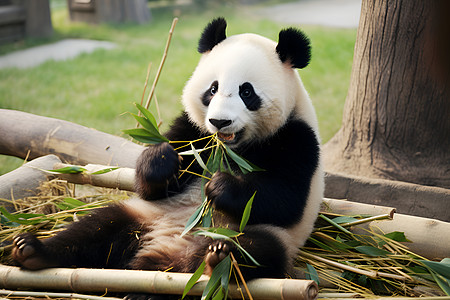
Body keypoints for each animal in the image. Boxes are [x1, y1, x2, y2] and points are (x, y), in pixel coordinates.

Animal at [11, 17, 324, 300]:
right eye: (212, 89)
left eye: (246, 91)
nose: (220, 122)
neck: (233, 148)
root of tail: (165, 249)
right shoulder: (192, 130)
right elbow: (150, 184)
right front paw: (162, 160)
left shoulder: (297, 138)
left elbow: (285, 198)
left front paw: (221, 186)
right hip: (141, 216)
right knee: (95, 228)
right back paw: (32, 251)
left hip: (257, 235)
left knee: (256, 250)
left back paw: (215, 260)